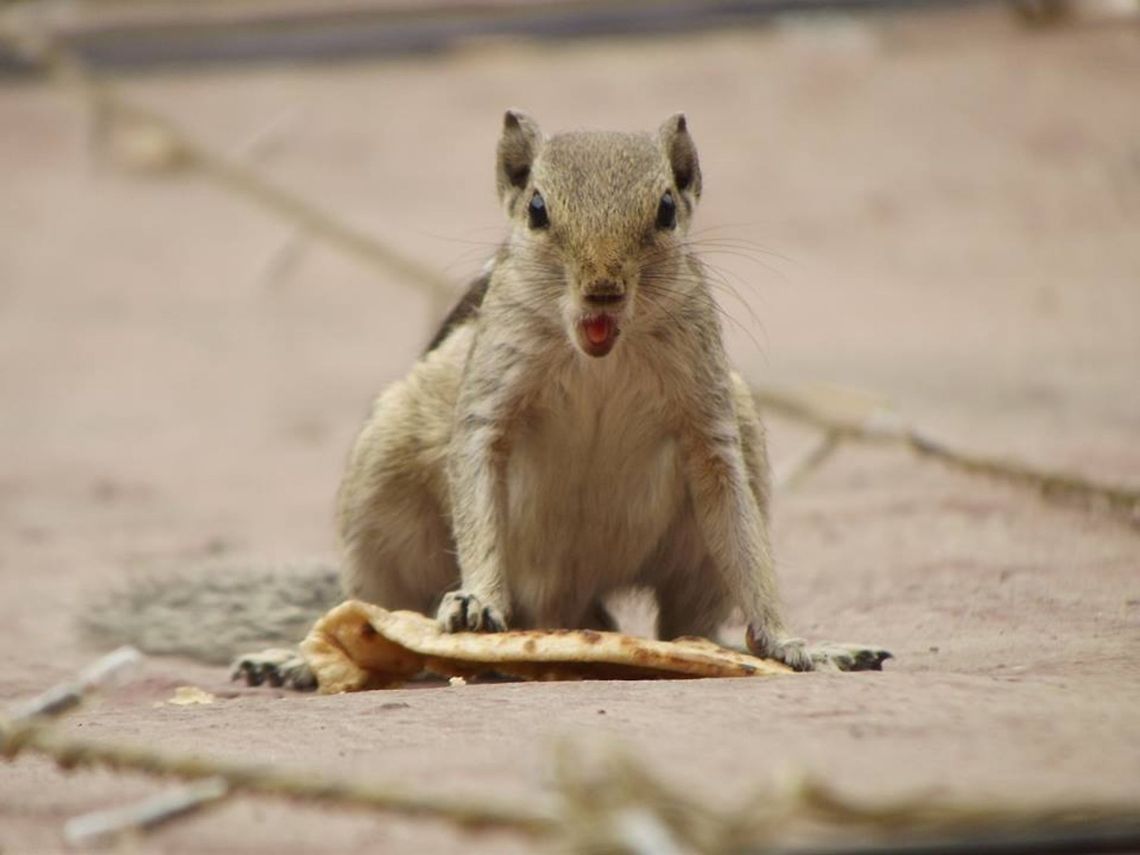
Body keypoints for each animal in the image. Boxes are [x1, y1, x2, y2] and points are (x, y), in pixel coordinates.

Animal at [85, 111, 844, 688]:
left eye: (664, 210)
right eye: (537, 208)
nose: (602, 288)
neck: (600, 358)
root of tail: (563, 603)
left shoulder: (711, 425)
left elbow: (742, 532)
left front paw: (788, 639)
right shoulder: (488, 404)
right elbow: (476, 479)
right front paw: (478, 599)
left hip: (718, 496)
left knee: (684, 620)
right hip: (381, 498)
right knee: (378, 603)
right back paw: (299, 661)